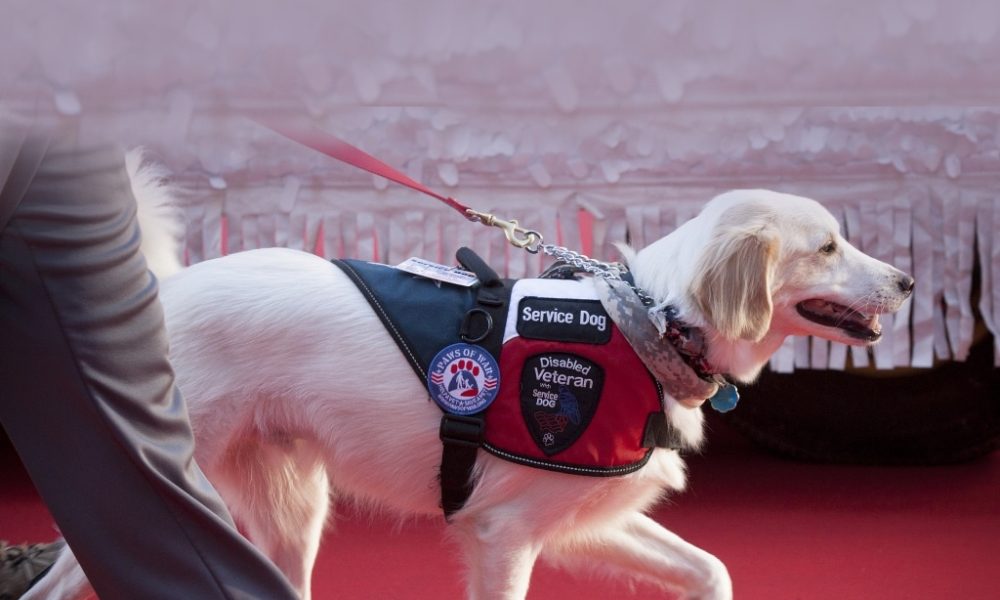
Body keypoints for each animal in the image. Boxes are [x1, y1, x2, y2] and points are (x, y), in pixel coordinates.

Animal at [27, 184, 916, 600]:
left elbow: (712, 570)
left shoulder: (574, 520)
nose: (908, 282)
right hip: (165, 489)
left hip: (289, 511)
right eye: (827, 247)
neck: (650, 322)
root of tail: (162, 292)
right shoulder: (505, 535)